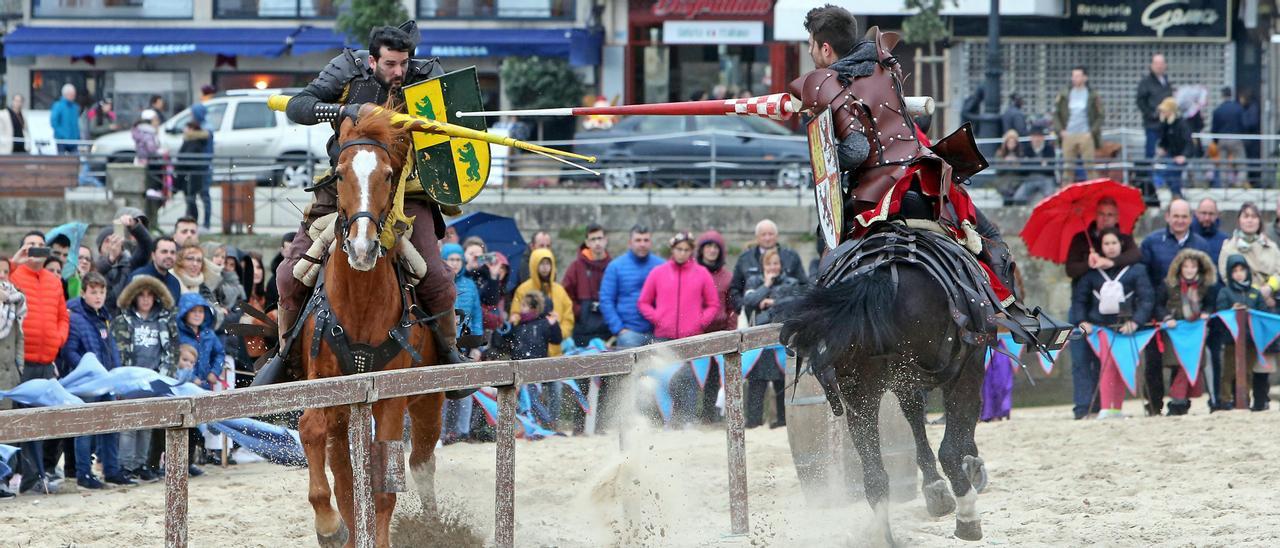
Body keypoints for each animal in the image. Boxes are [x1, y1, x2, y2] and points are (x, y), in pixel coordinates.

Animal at [299, 111, 445, 548]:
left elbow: (386, 478)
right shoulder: (324, 381)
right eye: (341, 174)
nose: (363, 249)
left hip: (429, 401)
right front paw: (329, 525)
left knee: (421, 461)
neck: (361, 300)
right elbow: (312, 430)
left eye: (387, 174)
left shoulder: (392, 396)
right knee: (344, 473)